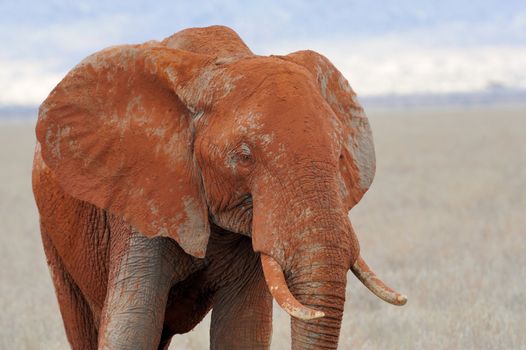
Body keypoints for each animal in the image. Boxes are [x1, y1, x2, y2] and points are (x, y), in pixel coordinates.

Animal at [32, 25, 408, 350]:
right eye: (244, 156)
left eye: (340, 155)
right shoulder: (145, 194)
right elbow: (131, 328)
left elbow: (241, 333)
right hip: (54, 237)